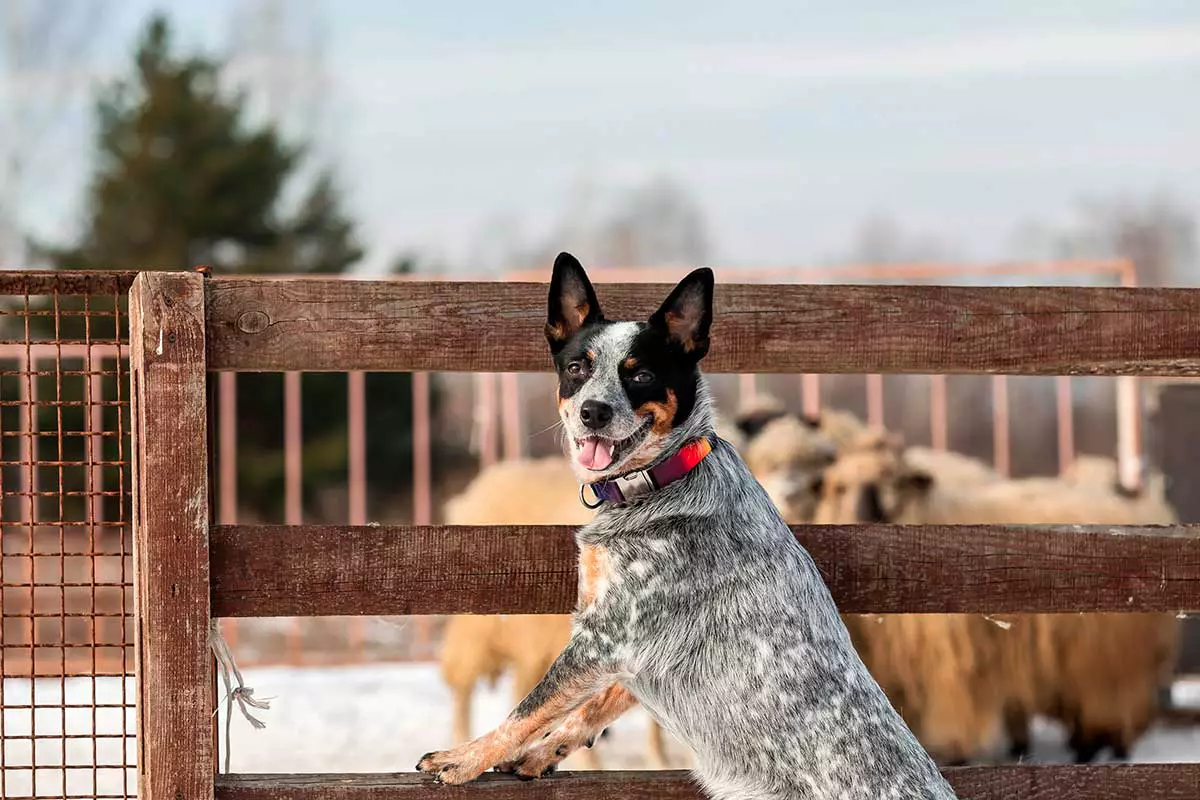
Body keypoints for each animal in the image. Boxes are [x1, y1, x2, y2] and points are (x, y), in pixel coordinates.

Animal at [415, 253, 955, 796]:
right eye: (577, 368)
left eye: (641, 375)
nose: (593, 411)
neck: (661, 479)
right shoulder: (630, 654)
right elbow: (588, 709)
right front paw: (540, 754)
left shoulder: (604, 637)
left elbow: (528, 709)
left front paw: (464, 758)